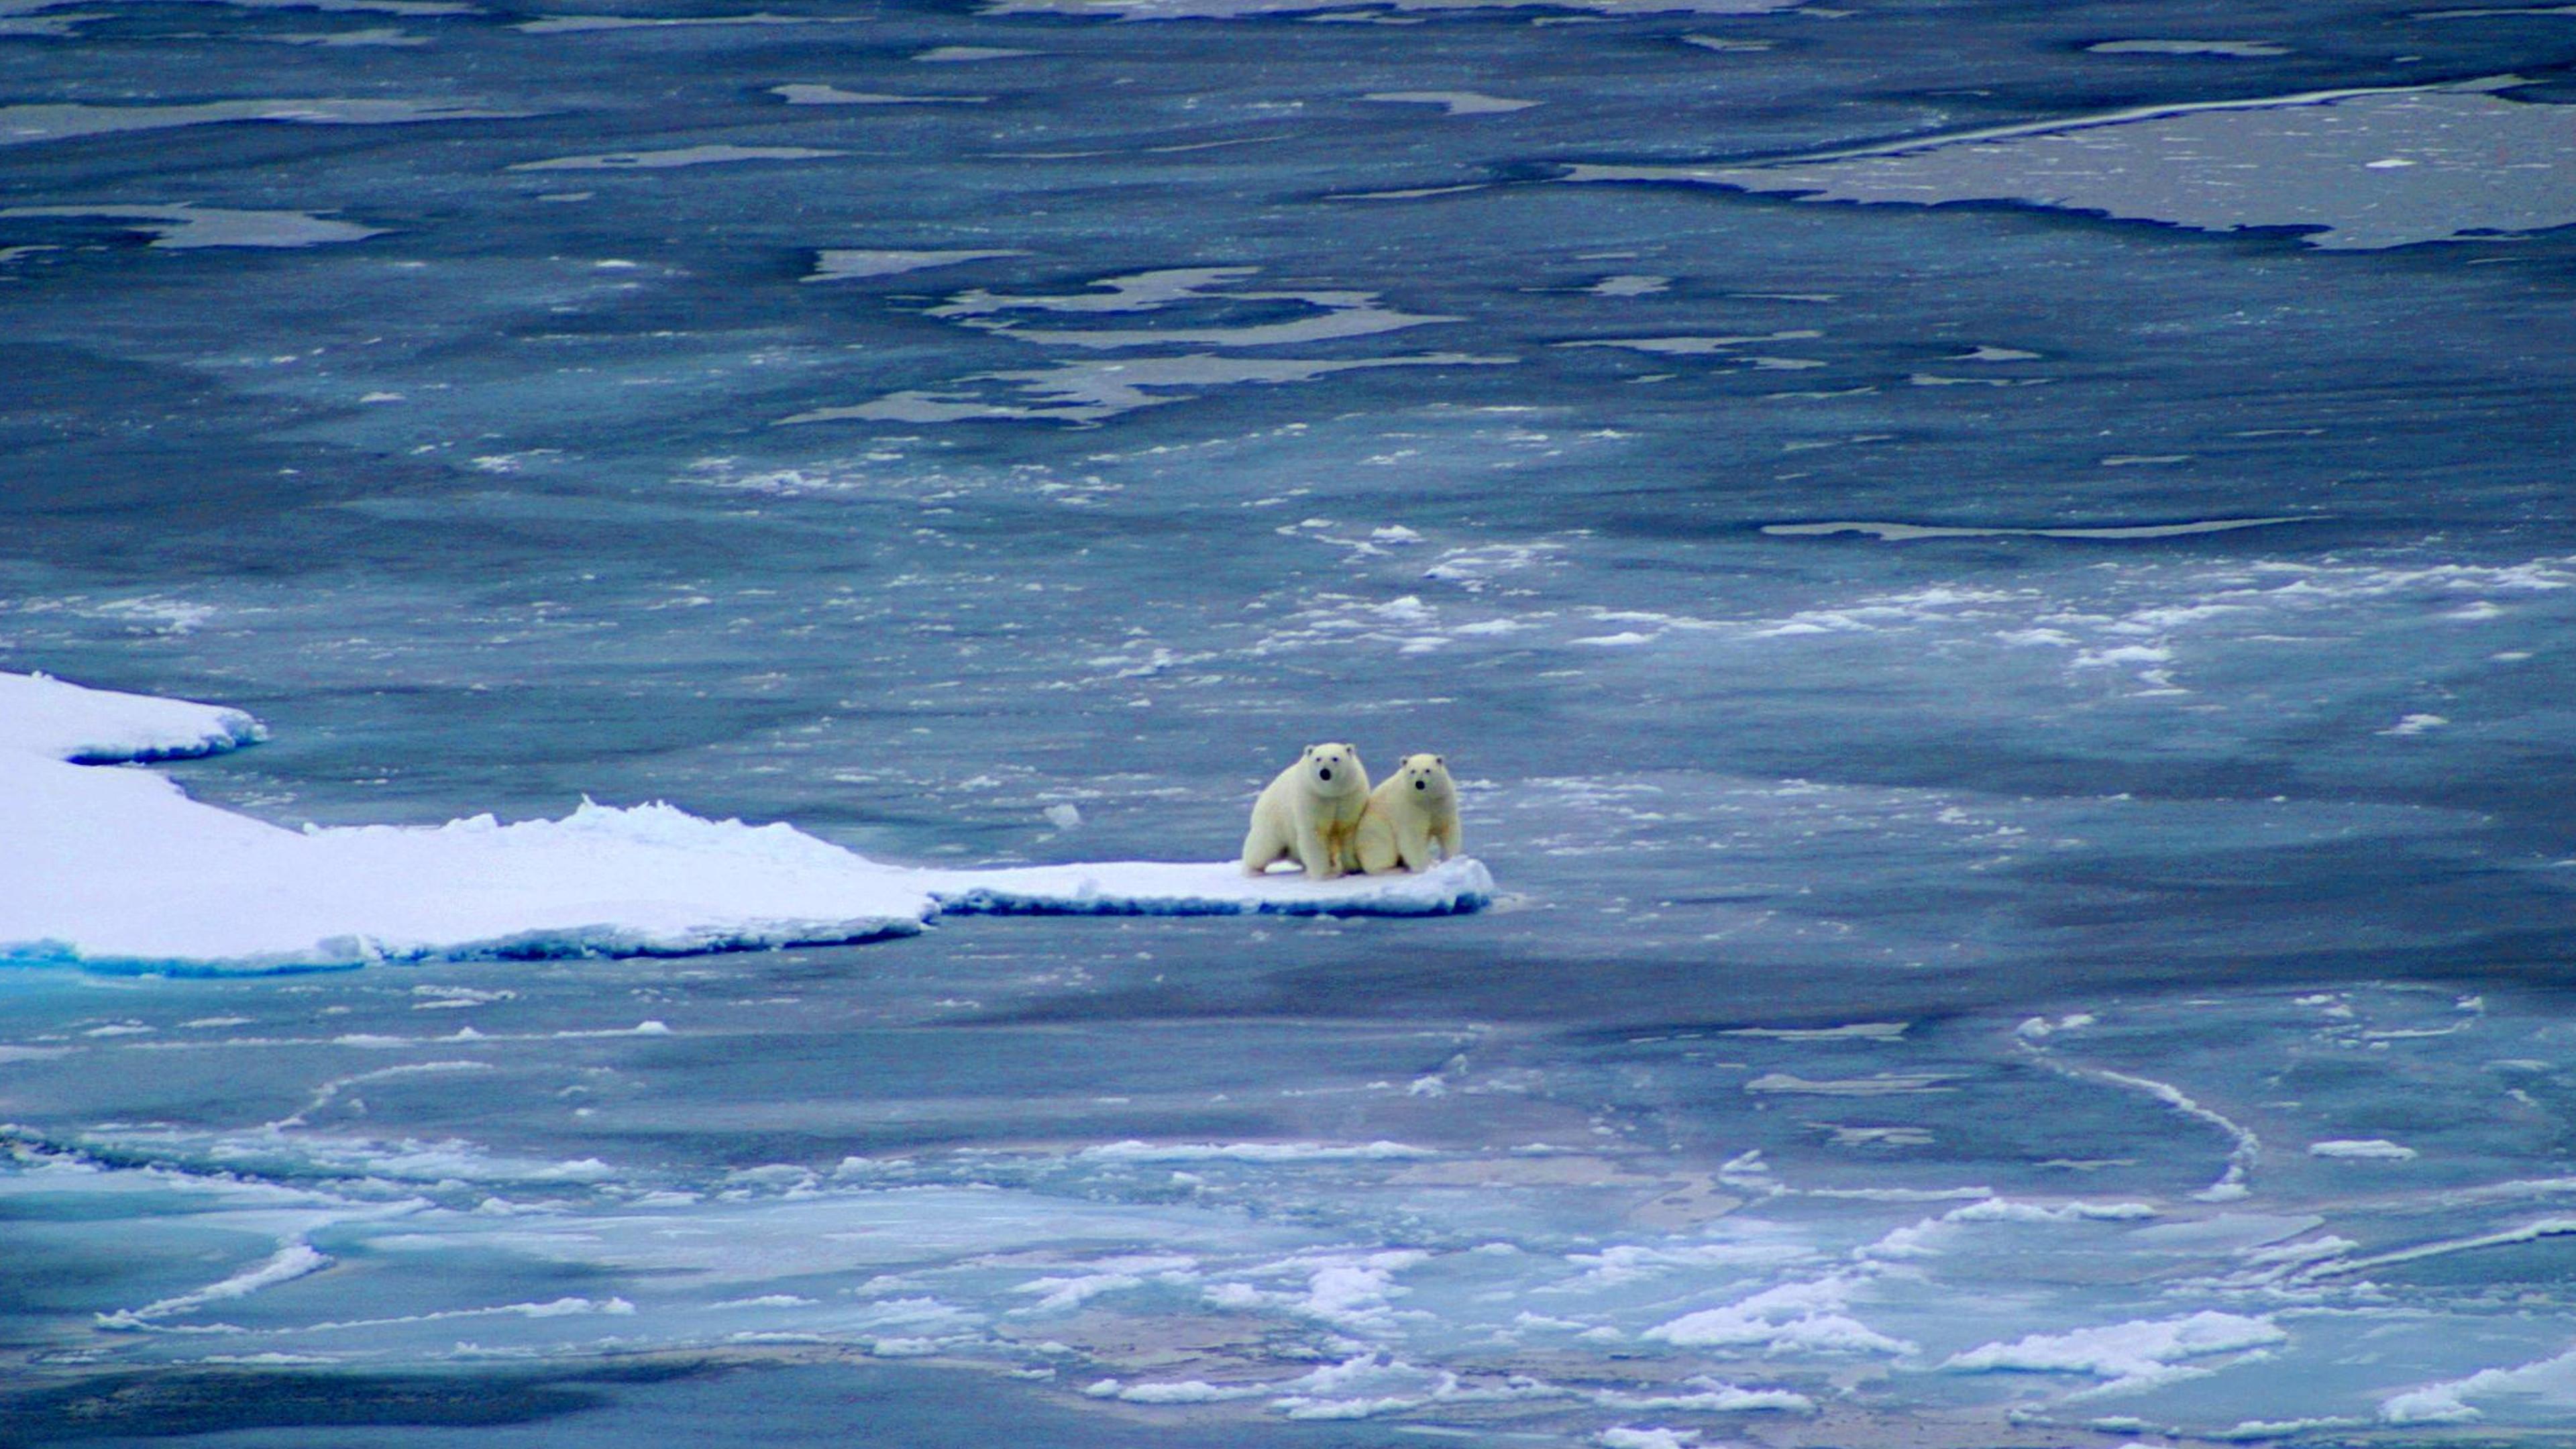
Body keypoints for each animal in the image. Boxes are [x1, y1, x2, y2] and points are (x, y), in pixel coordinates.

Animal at [1241, 743, 1371, 880]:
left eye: (1335, 758)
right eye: (1318, 759)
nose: (1325, 772)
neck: (1331, 794)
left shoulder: (1349, 796)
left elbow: (1347, 831)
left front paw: (1354, 868)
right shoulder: (1312, 797)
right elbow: (1314, 833)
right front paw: (1326, 874)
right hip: (1273, 822)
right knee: (1262, 847)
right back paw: (1253, 870)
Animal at [1353, 753, 1461, 875]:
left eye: (1428, 770)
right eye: (1413, 771)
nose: (1419, 783)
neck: (1425, 799)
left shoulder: (1442, 801)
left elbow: (1447, 829)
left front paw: (1450, 859)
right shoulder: (1409, 807)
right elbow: (1412, 836)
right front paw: (1424, 867)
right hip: (1376, 831)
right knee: (1382, 852)